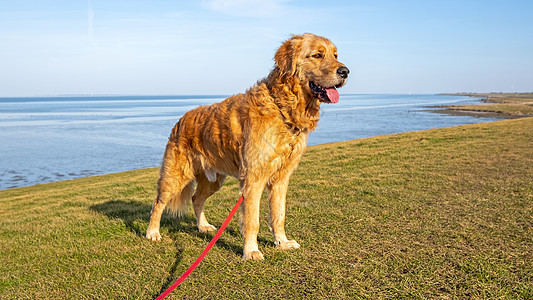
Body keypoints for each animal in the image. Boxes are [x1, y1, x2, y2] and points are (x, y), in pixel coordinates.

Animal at [145, 32, 348, 260]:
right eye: (317, 55)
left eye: (335, 55)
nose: (345, 71)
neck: (282, 108)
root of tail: (181, 120)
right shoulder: (253, 179)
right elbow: (252, 220)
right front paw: (251, 250)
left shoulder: (281, 179)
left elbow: (279, 215)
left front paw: (282, 242)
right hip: (175, 176)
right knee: (158, 204)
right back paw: (152, 232)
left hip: (214, 180)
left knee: (196, 198)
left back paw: (203, 226)